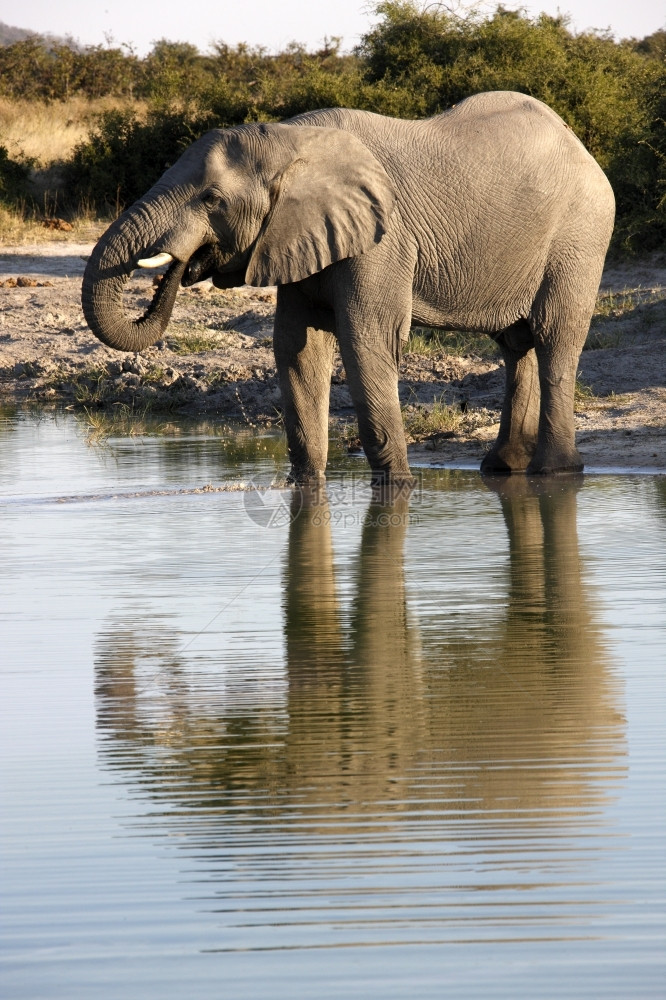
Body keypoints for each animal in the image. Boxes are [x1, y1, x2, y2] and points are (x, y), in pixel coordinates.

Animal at [81, 92, 612, 482]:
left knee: (554, 337)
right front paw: (306, 486)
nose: (181, 266)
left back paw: (556, 474)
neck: (292, 141)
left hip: (580, 235)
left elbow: (366, 341)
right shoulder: (297, 237)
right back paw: (503, 469)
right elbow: (296, 348)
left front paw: (398, 489)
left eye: (212, 199)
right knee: (516, 344)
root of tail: (582, 148)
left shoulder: (383, 240)